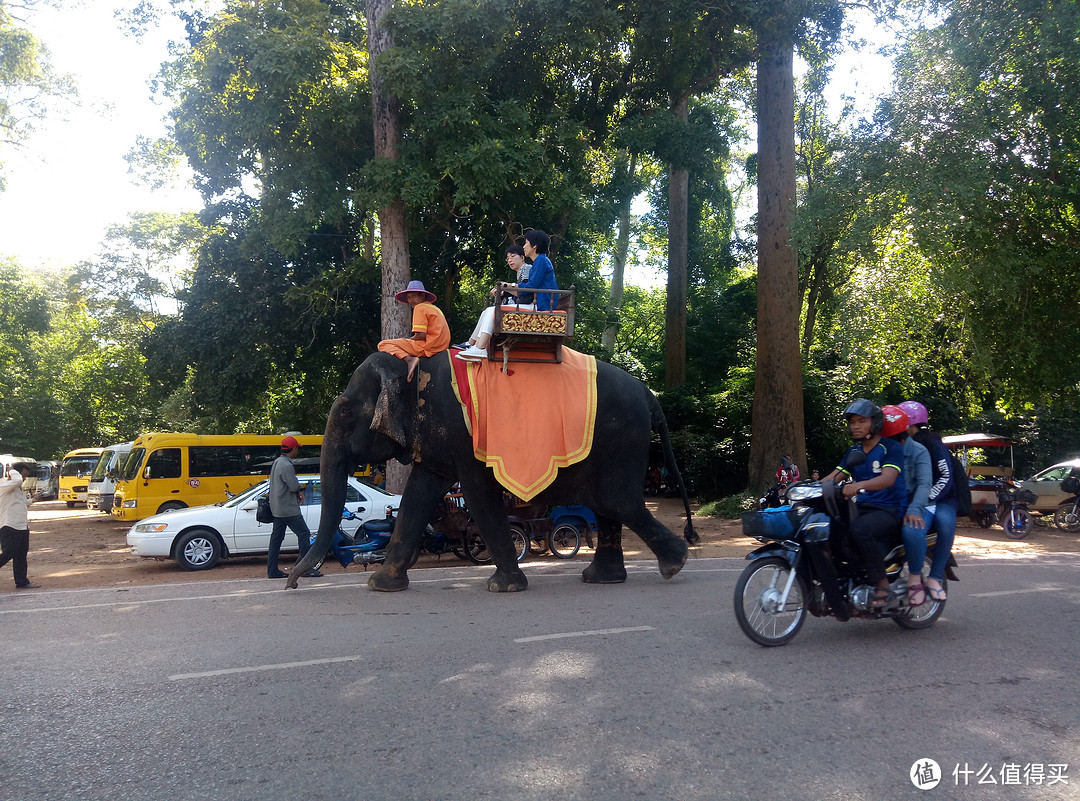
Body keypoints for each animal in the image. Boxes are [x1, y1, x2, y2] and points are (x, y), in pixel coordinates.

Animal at [282, 351, 695, 595]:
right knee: (608, 504)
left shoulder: (464, 433)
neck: (413, 367)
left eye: (345, 411)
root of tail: (649, 394)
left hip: (620, 437)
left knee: (614, 500)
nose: (291, 585)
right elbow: (418, 495)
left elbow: (480, 495)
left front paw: (503, 587)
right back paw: (604, 579)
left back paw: (674, 564)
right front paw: (380, 585)